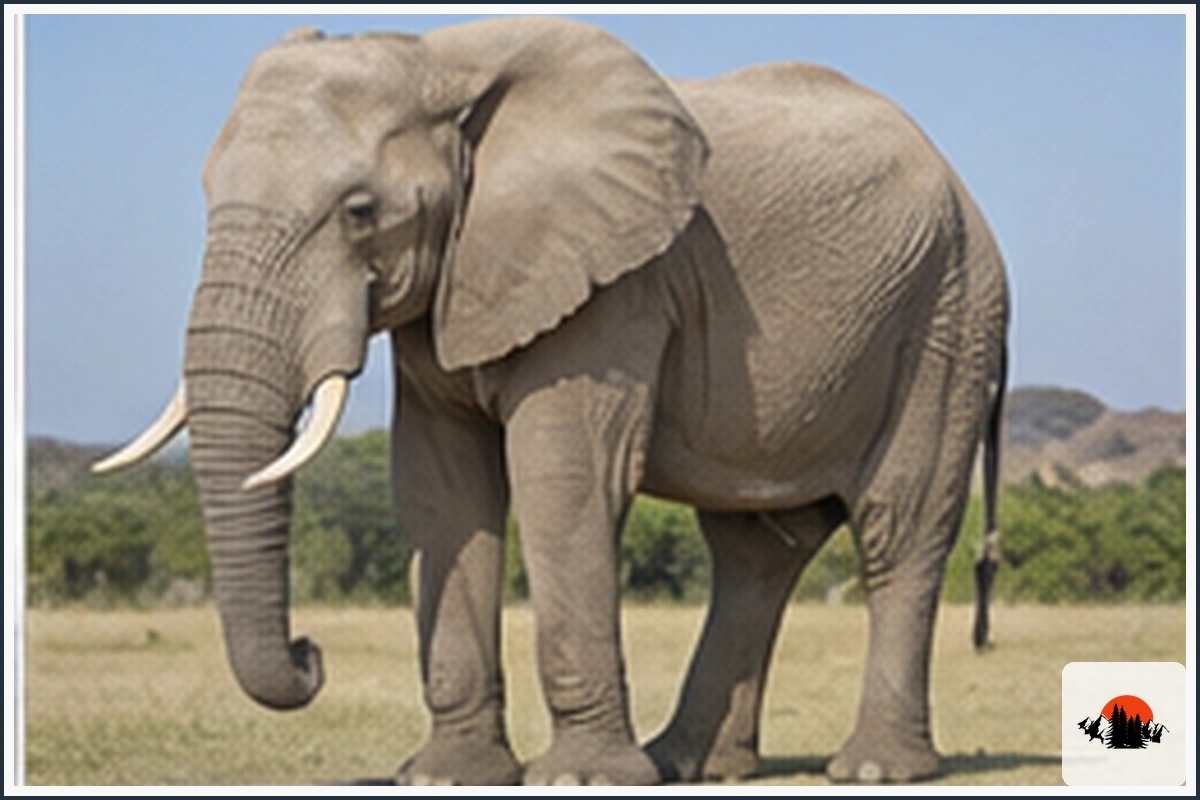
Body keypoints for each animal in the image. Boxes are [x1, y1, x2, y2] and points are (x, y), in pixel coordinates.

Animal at [94, 17, 1008, 785]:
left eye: (359, 212)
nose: (310, 652)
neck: (437, 64)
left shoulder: (618, 283)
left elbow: (564, 477)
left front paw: (582, 780)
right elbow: (439, 488)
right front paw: (446, 777)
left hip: (948, 316)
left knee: (898, 523)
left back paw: (874, 770)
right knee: (756, 549)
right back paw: (692, 765)